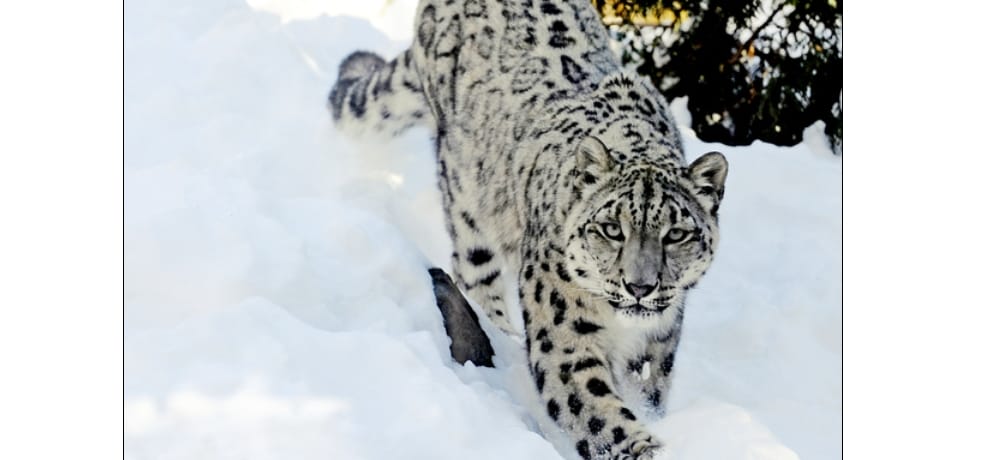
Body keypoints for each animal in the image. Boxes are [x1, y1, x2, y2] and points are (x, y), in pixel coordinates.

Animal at [327, 0, 728, 458]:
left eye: (676, 234)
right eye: (611, 229)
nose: (640, 287)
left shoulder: (656, 346)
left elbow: (647, 394)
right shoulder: (566, 338)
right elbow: (602, 416)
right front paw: (650, 448)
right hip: (468, 206)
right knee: (476, 278)